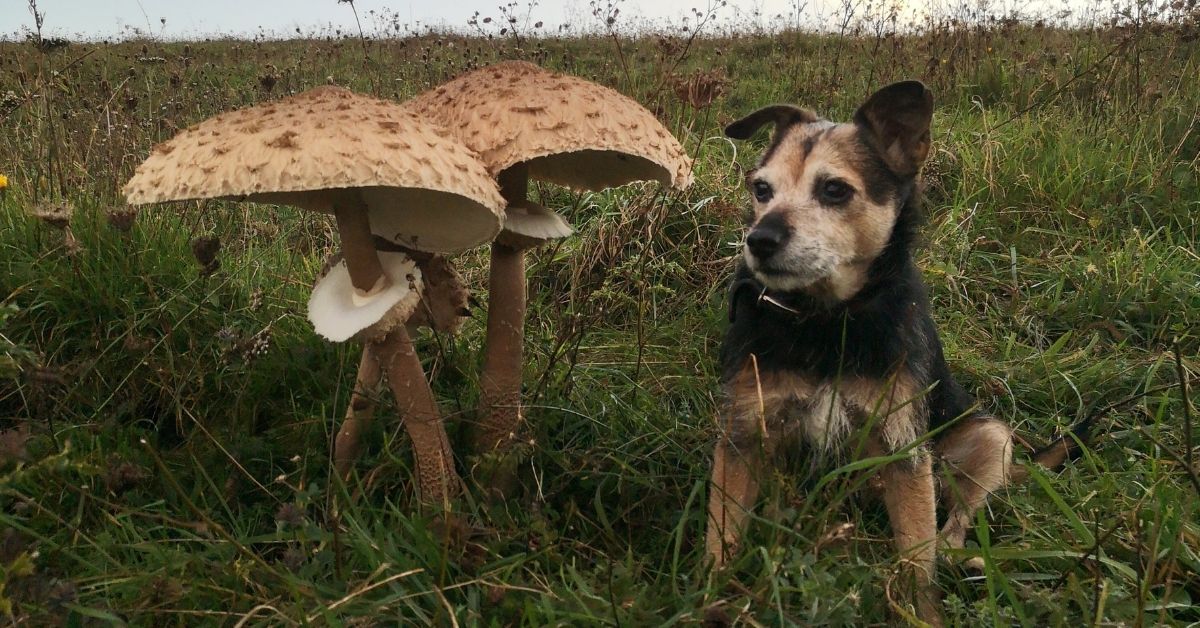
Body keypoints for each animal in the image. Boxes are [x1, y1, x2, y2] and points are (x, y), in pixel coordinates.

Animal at [700, 82, 1089, 624]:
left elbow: (917, 562)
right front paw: (710, 603)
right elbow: (722, 539)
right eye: (761, 189)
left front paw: (923, 611)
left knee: (954, 522)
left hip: (988, 440)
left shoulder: (904, 448)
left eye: (834, 190)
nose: (759, 240)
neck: (826, 322)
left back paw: (964, 557)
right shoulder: (743, 438)